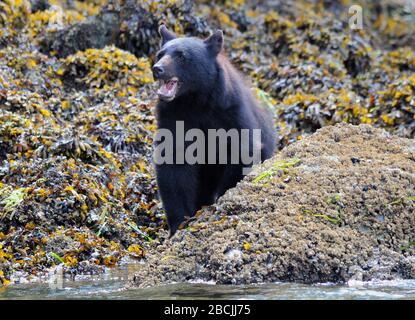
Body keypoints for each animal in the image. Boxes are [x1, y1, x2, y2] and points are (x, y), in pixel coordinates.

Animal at [153, 25, 276, 235]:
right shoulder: (173, 118)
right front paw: (180, 222)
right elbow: (174, 166)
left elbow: (242, 152)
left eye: (182, 56)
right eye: (160, 54)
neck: (194, 101)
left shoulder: (232, 113)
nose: (157, 69)